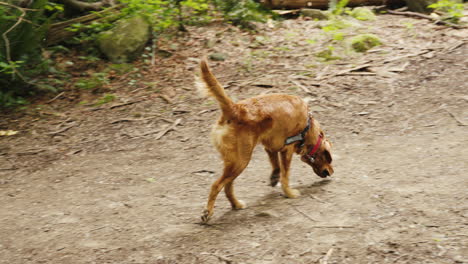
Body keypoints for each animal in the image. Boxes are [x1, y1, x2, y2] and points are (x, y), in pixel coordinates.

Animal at [197, 59, 332, 223]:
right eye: (329, 159)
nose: (331, 172)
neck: (308, 126)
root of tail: (235, 108)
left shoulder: (270, 146)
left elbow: (276, 166)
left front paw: (274, 177)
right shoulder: (287, 150)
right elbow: (285, 176)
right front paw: (289, 193)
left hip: (235, 162)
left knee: (228, 186)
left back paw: (236, 204)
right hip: (241, 161)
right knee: (216, 185)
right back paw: (208, 212)